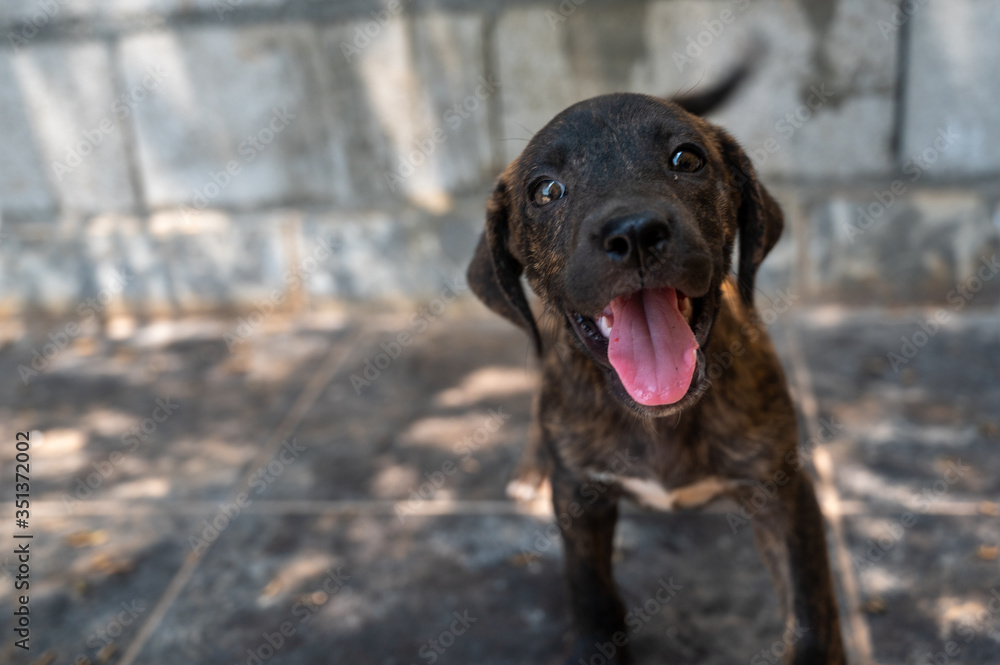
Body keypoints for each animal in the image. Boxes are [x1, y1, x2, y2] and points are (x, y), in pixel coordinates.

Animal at [466, 75, 844, 660]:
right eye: (545, 190)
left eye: (686, 159)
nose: (636, 232)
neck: (661, 420)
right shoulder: (579, 499)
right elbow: (591, 593)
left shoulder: (783, 491)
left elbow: (810, 607)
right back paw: (531, 468)